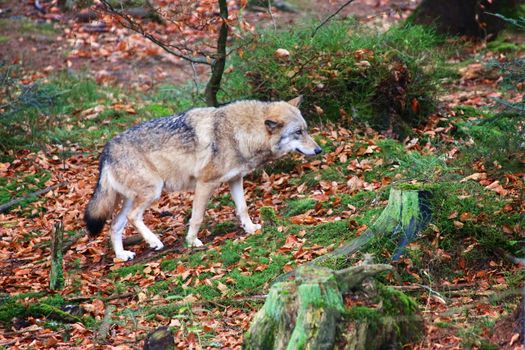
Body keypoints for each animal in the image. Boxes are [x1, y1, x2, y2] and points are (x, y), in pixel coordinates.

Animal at [83, 95, 320, 260]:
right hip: (153, 191)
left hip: (133, 198)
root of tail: (107, 150)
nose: (319, 150)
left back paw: (122, 256)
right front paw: (192, 241)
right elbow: (197, 217)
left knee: (115, 225)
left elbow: (243, 208)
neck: (238, 133)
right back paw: (154, 242)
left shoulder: (235, 179)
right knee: (133, 217)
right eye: (298, 132)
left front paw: (251, 229)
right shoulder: (205, 183)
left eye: (306, 130)